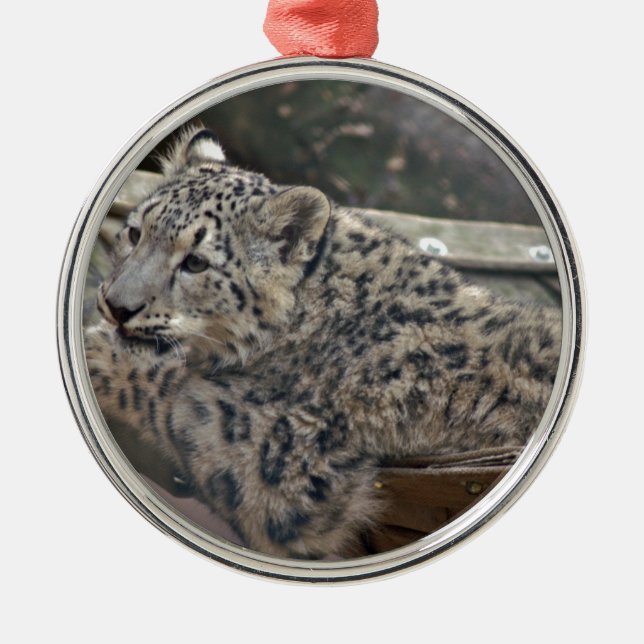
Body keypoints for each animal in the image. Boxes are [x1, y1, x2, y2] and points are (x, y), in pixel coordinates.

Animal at [84, 126, 562, 559]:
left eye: (196, 262)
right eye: (135, 233)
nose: (116, 306)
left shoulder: (279, 457)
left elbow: (175, 396)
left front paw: (101, 352)